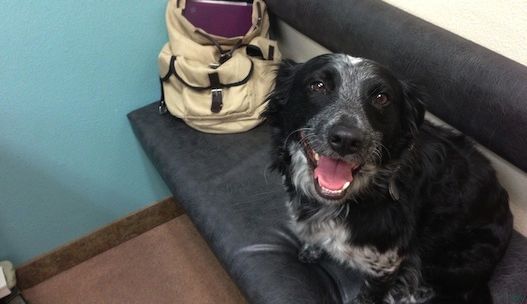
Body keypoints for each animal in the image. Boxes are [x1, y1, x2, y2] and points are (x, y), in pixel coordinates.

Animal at [266, 54, 512, 304]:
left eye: (381, 98)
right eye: (318, 85)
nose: (346, 139)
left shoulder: (386, 264)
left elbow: (369, 296)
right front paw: (311, 249)